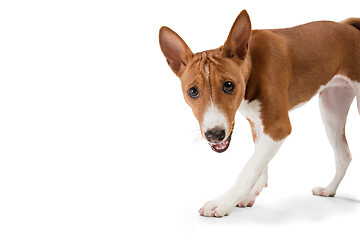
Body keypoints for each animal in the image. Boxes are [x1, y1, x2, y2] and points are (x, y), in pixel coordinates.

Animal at [159, 9, 360, 218]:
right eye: (193, 91)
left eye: (228, 85)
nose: (214, 135)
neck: (252, 66)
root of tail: (350, 27)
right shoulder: (257, 124)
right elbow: (259, 165)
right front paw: (248, 195)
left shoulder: (278, 127)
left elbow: (249, 168)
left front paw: (223, 202)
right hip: (331, 110)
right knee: (344, 156)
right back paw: (329, 190)